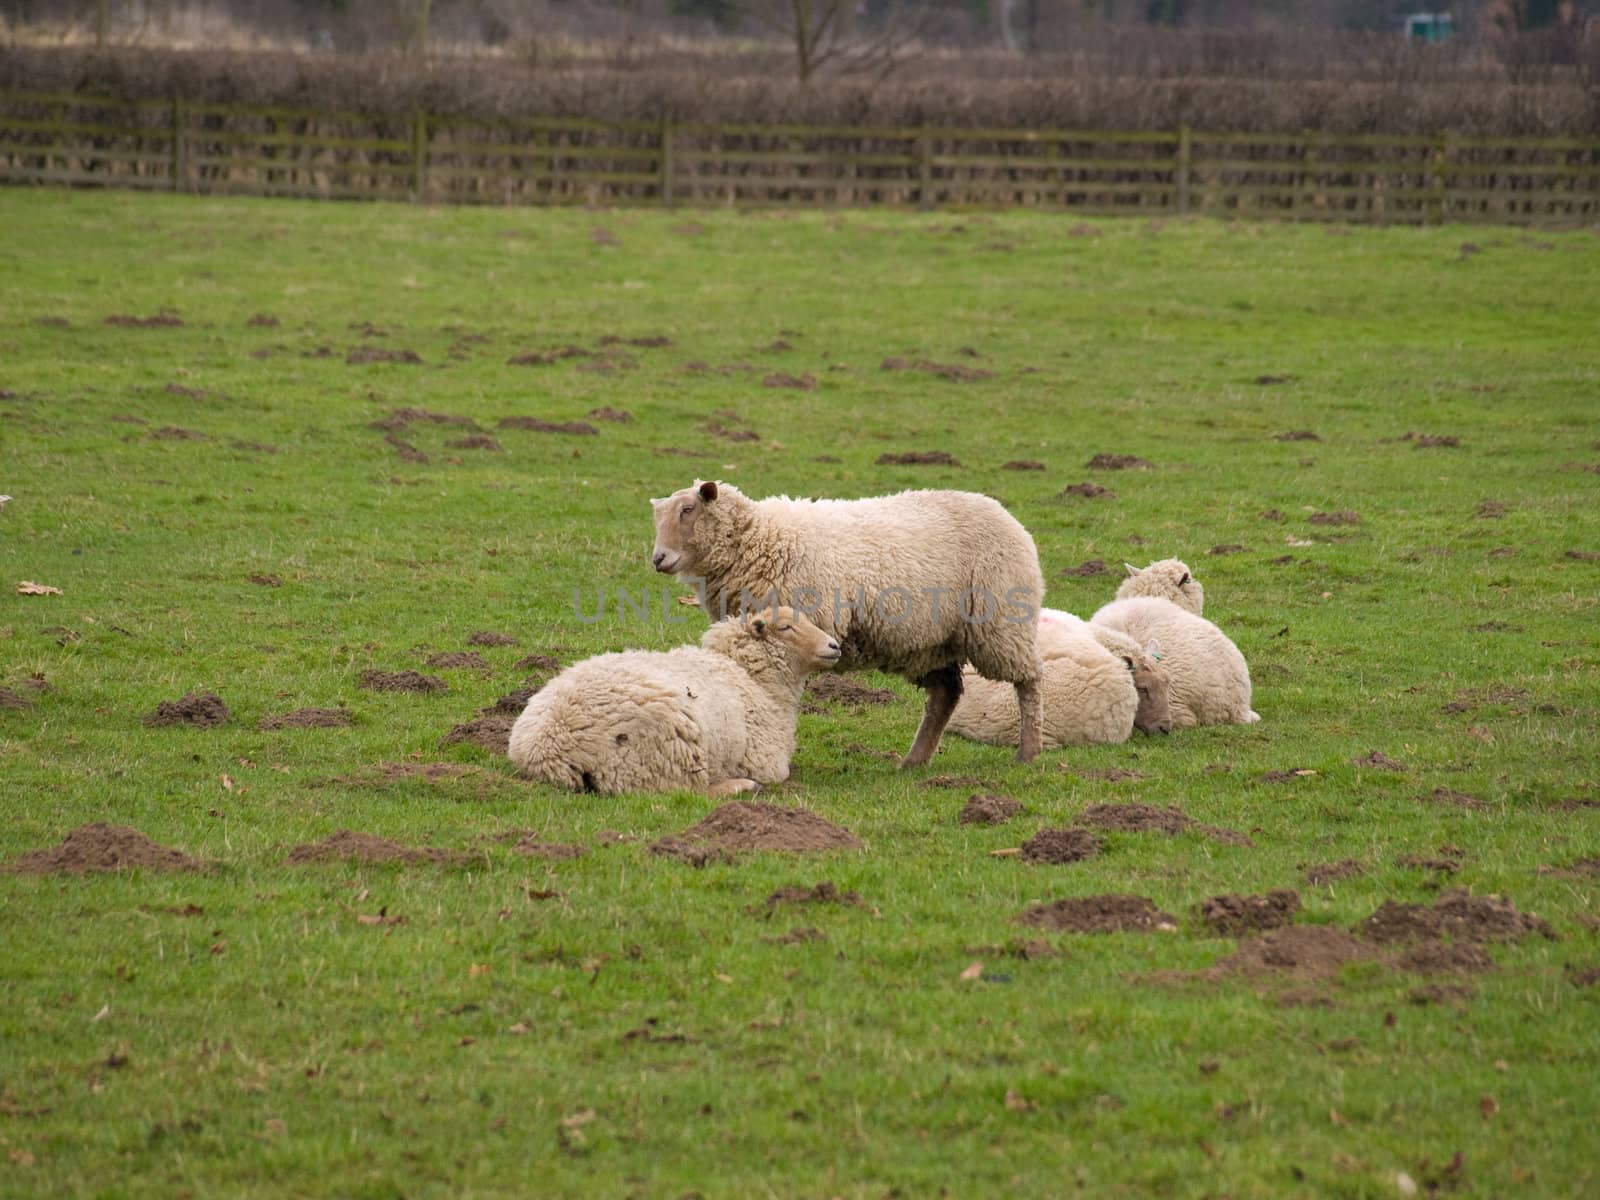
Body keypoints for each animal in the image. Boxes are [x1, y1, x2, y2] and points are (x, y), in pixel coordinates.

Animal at [508, 611, 838, 800]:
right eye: (786, 627)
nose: (834, 645)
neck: (748, 675)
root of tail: (550, 750)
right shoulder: (765, 761)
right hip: (666, 755)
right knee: (690, 792)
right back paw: (741, 786)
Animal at [649, 480, 1049, 761]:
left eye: (688, 510)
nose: (658, 559)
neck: (759, 539)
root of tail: (1003, 513)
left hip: (1000, 623)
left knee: (1029, 680)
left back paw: (1028, 752)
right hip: (932, 642)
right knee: (945, 695)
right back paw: (914, 761)